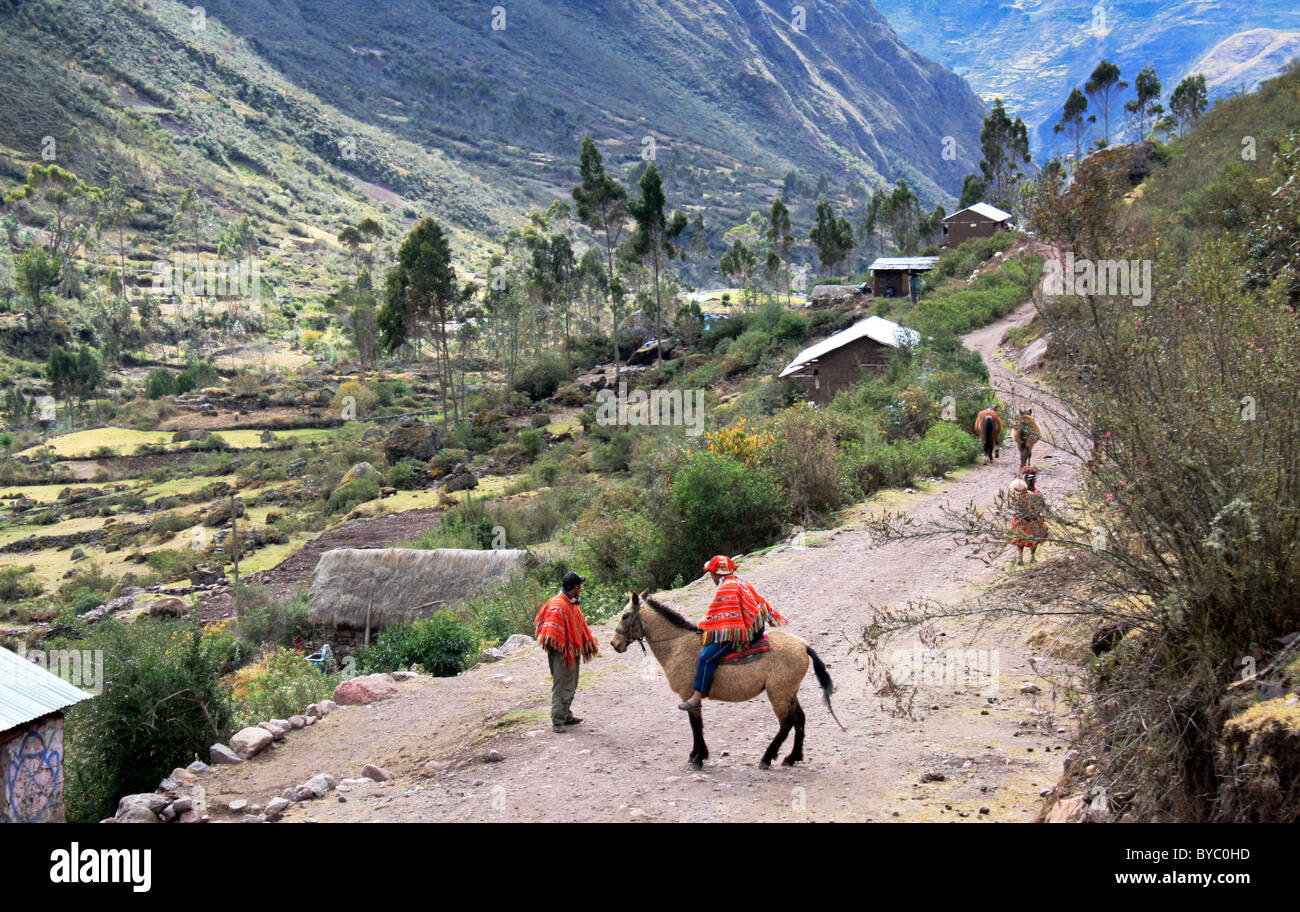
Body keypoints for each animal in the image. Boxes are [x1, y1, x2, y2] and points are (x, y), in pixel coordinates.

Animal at [613, 592, 847, 769]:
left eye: (625, 616)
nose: (614, 644)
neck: (677, 645)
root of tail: (803, 646)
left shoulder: (689, 696)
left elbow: (695, 725)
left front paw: (698, 758)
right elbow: (696, 725)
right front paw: (696, 755)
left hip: (778, 695)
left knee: (787, 723)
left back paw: (767, 758)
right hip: (790, 693)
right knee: (800, 720)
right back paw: (792, 757)